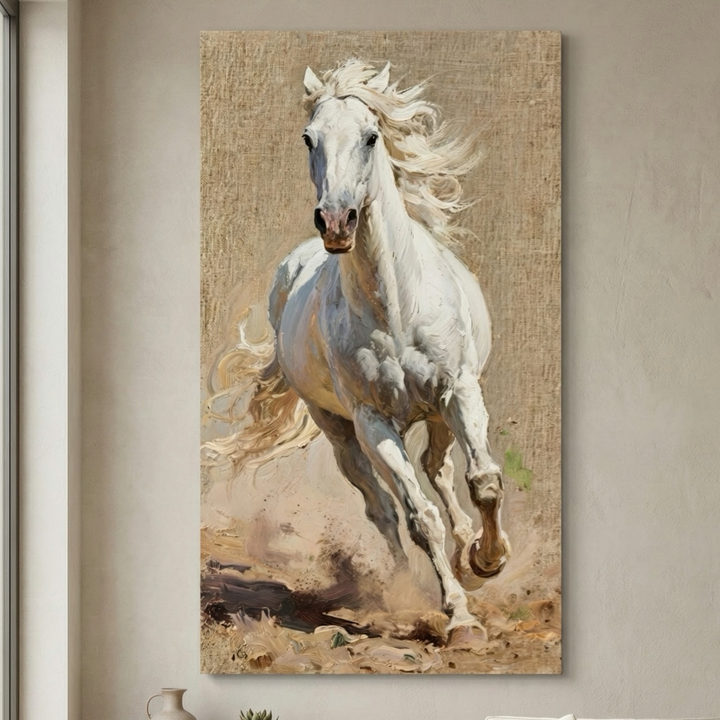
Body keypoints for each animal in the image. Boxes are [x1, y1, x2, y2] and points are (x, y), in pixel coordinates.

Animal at [210, 60, 511, 635]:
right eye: (309, 138)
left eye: (372, 136)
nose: (336, 221)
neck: (394, 309)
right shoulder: (372, 421)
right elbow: (418, 518)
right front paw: (457, 615)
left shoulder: (459, 392)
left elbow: (483, 481)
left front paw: (489, 560)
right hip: (339, 431)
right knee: (384, 508)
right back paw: (398, 591)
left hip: (436, 413)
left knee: (439, 469)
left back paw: (467, 550)